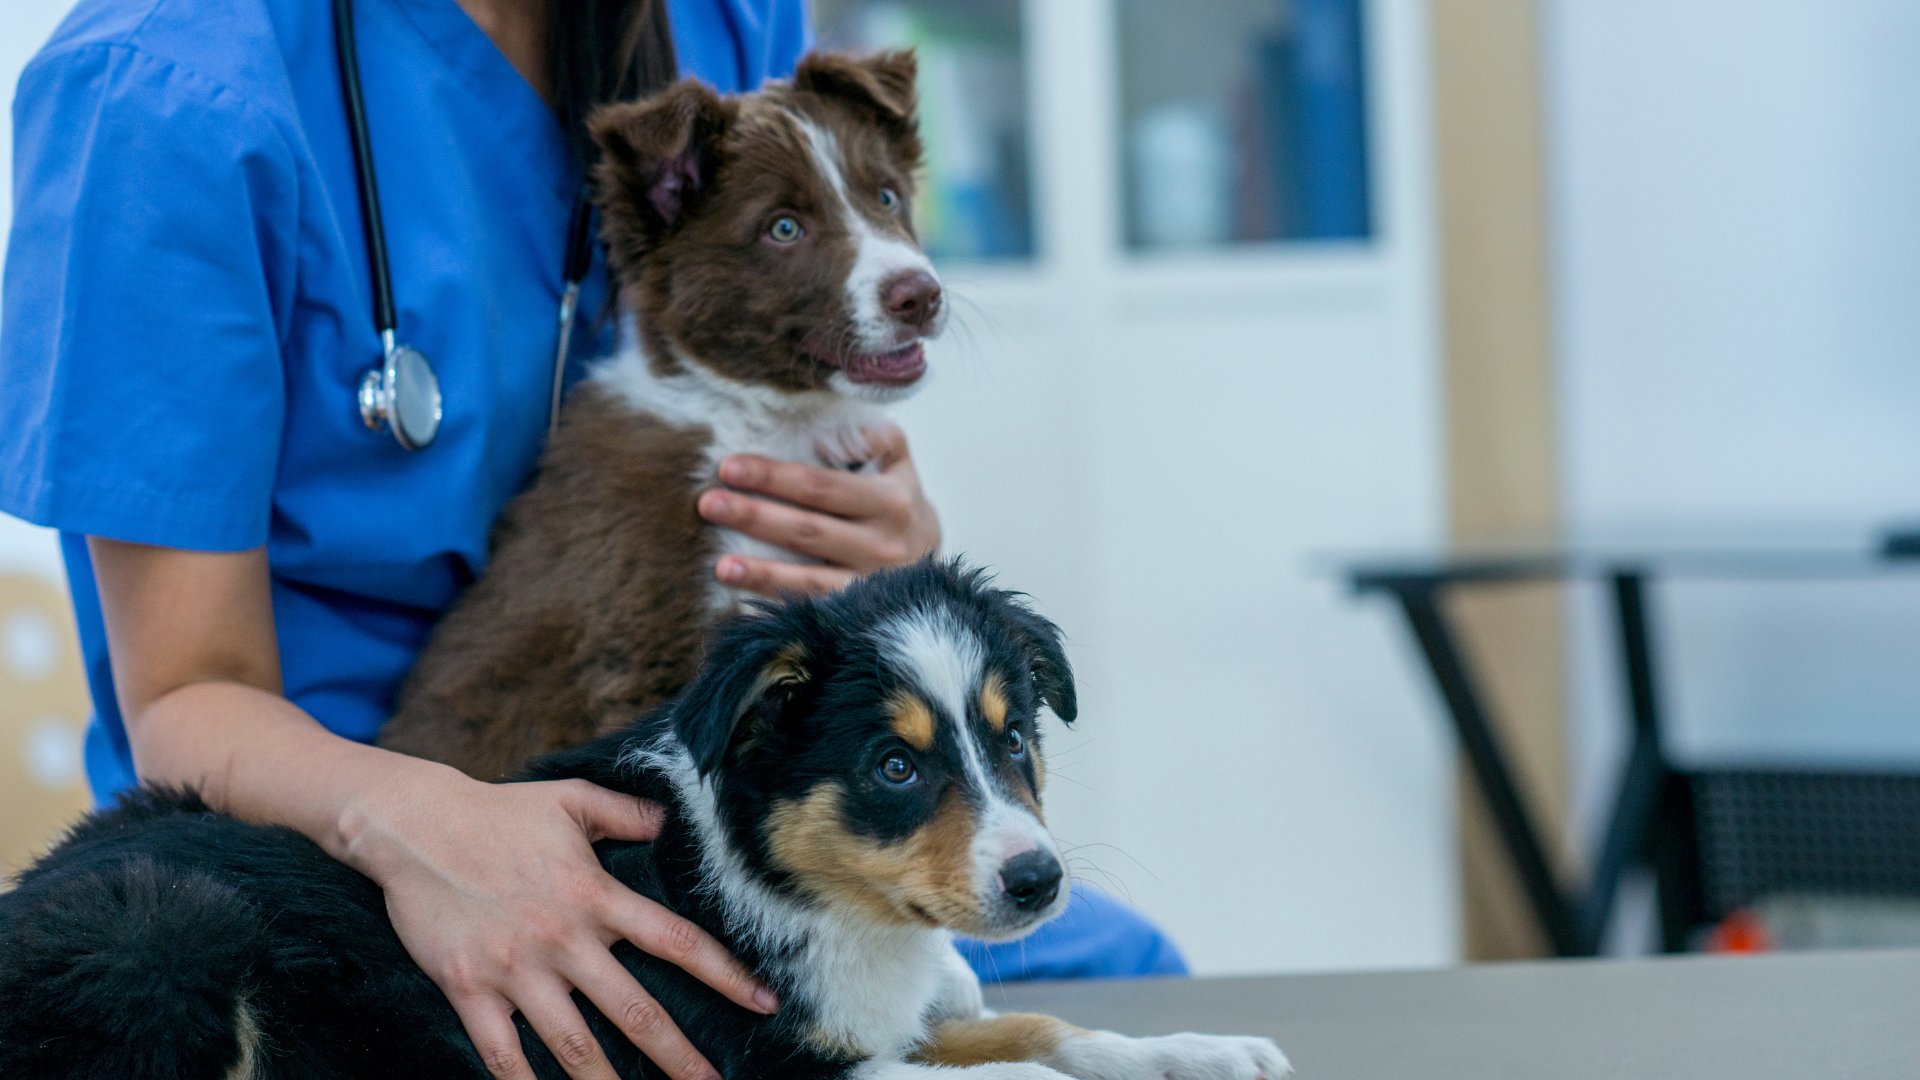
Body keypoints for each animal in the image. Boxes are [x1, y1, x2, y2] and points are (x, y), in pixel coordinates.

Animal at [0, 557, 1297, 1068]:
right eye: (893, 767)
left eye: (1015, 738)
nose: (1038, 883)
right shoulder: (760, 1067)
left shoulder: (878, 1024)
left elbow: (1048, 1029)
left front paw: (1205, 1050)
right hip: (155, 929)